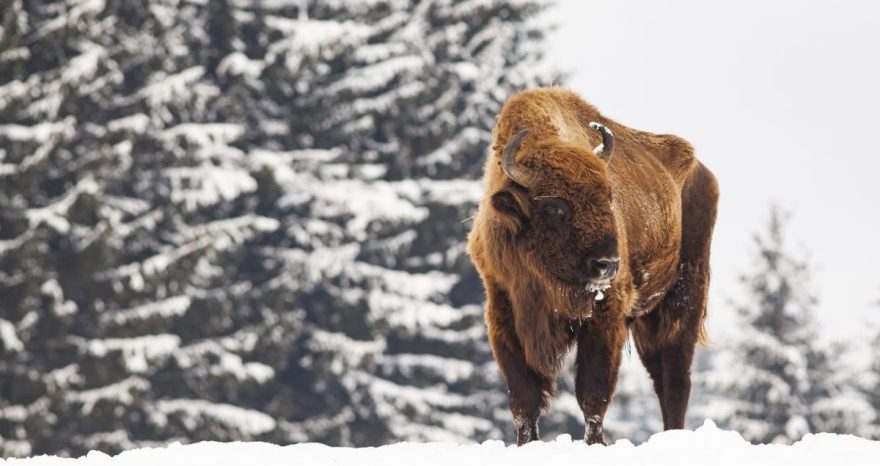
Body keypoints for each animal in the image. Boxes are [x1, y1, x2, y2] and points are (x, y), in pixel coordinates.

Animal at [464, 86, 720, 444]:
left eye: (609, 198)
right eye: (554, 207)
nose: (607, 264)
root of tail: (702, 172)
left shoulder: (605, 317)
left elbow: (592, 392)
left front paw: (595, 443)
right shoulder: (503, 313)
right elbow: (524, 397)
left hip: (684, 299)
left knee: (676, 379)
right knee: (661, 375)